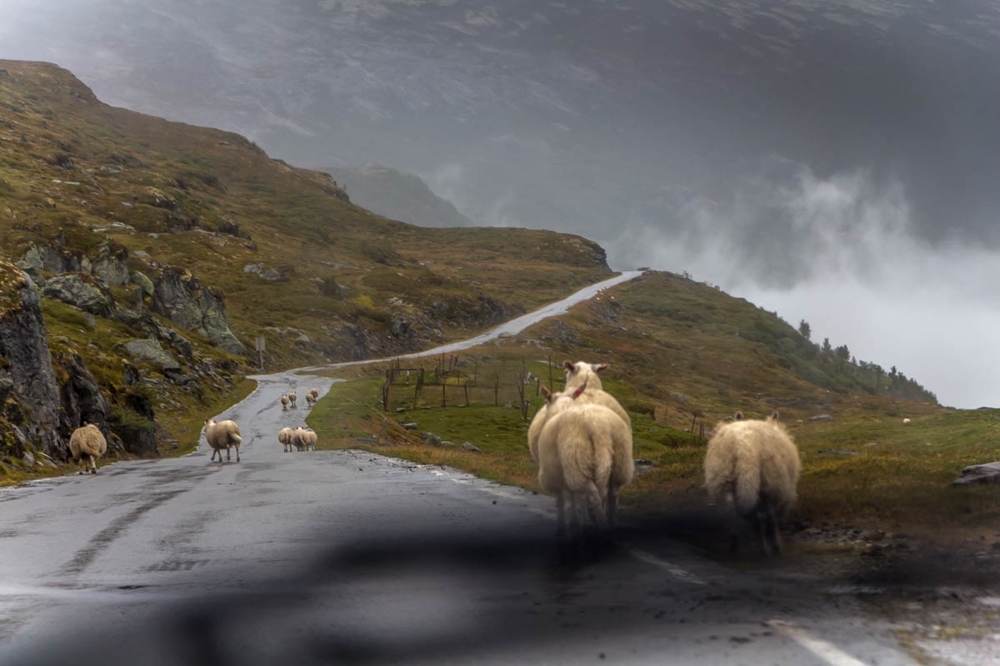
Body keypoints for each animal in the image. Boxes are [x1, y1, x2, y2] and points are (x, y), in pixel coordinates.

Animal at [704, 410, 804, 556]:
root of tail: (743, 448)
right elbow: (772, 519)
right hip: (767, 485)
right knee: (765, 519)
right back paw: (770, 547)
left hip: (725, 479)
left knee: (732, 512)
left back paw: (734, 544)